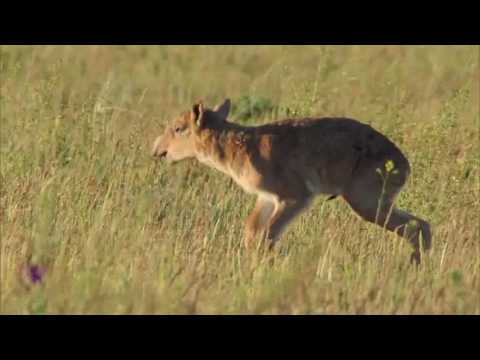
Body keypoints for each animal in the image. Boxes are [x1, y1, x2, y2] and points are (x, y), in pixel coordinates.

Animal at [153, 99, 432, 264]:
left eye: (178, 128)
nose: (157, 149)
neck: (238, 147)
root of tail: (403, 164)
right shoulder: (266, 199)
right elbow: (252, 232)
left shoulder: (295, 198)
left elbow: (268, 236)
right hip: (377, 204)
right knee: (422, 224)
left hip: (367, 203)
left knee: (415, 226)